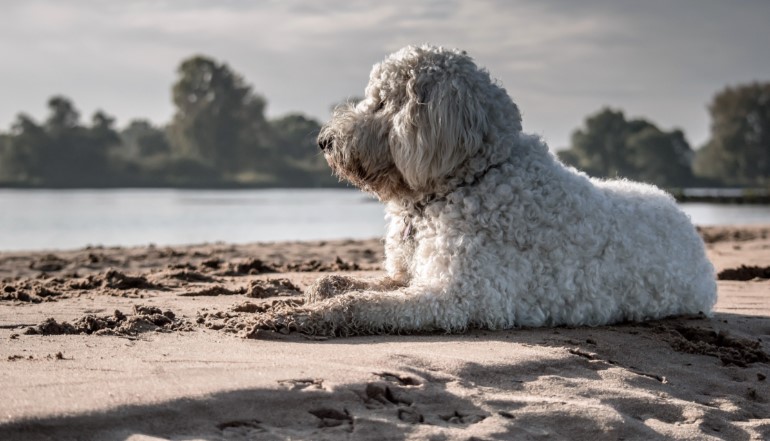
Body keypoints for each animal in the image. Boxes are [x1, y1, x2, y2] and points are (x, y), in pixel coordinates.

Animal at [255, 43, 716, 334]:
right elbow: (351, 284)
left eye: (384, 102)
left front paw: (299, 317)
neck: (470, 177)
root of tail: (682, 215)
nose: (324, 141)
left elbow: (361, 304)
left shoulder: (460, 296)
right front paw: (313, 291)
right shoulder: (410, 275)